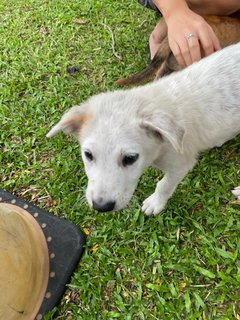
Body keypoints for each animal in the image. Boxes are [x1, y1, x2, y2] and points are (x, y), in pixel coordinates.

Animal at [47, 43, 240, 215]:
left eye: (130, 158)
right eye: (88, 155)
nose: (101, 207)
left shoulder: (181, 164)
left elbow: (164, 185)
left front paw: (155, 203)